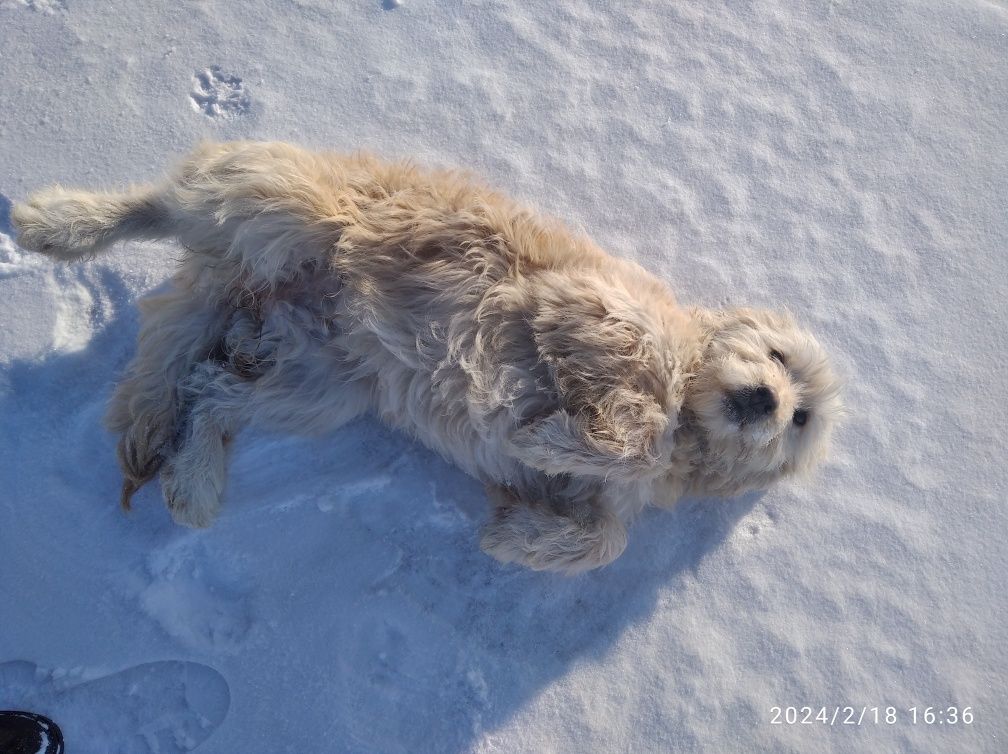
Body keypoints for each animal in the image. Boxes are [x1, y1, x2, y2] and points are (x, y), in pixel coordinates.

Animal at [11, 140, 842, 572]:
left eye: (801, 420)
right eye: (776, 357)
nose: (767, 401)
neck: (689, 411)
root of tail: (244, 280)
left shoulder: (607, 502)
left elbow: (605, 539)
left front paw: (515, 535)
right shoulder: (584, 305)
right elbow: (625, 421)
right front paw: (559, 435)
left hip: (321, 383)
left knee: (211, 389)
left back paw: (195, 481)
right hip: (288, 210)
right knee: (161, 201)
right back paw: (61, 224)